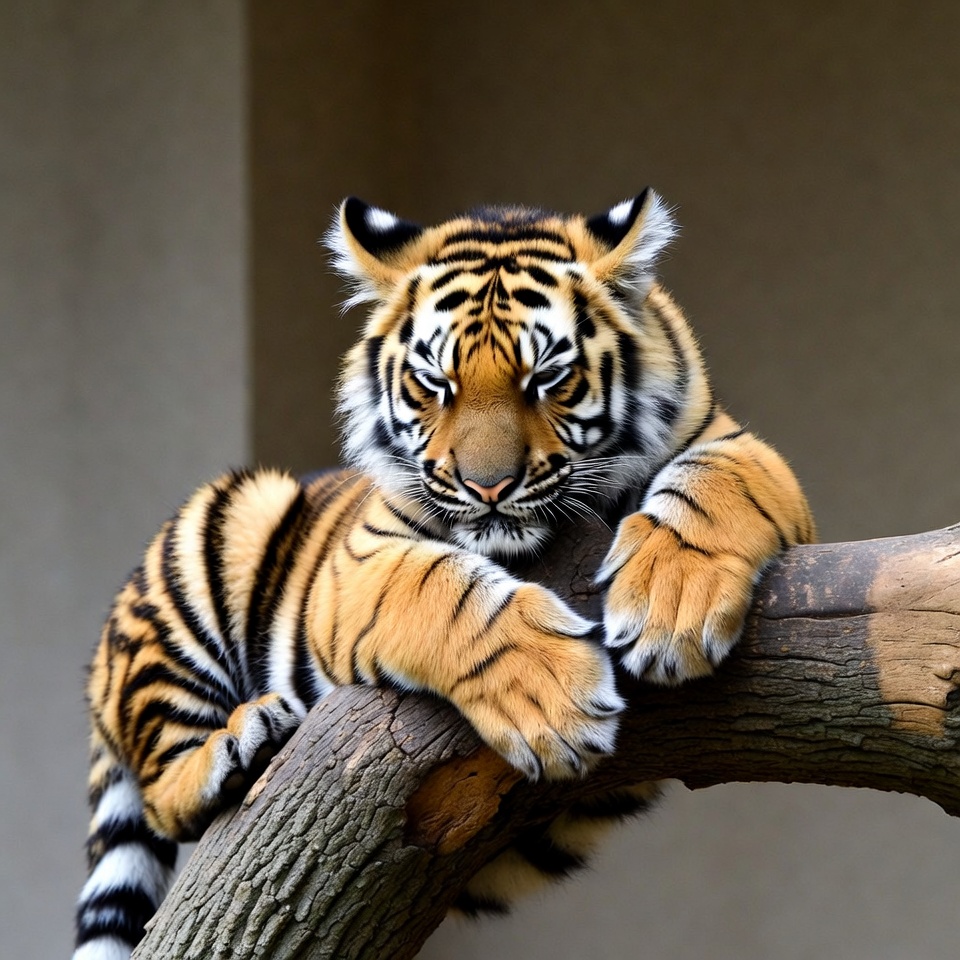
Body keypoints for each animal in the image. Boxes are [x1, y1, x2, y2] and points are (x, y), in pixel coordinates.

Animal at [72, 189, 814, 959]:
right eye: (435, 383)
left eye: (546, 379)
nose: (488, 487)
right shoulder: (362, 558)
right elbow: (446, 592)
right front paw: (555, 700)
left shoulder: (733, 442)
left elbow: (716, 484)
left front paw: (672, 612)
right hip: (224, 529)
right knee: (163, 791)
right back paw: (245, 745)